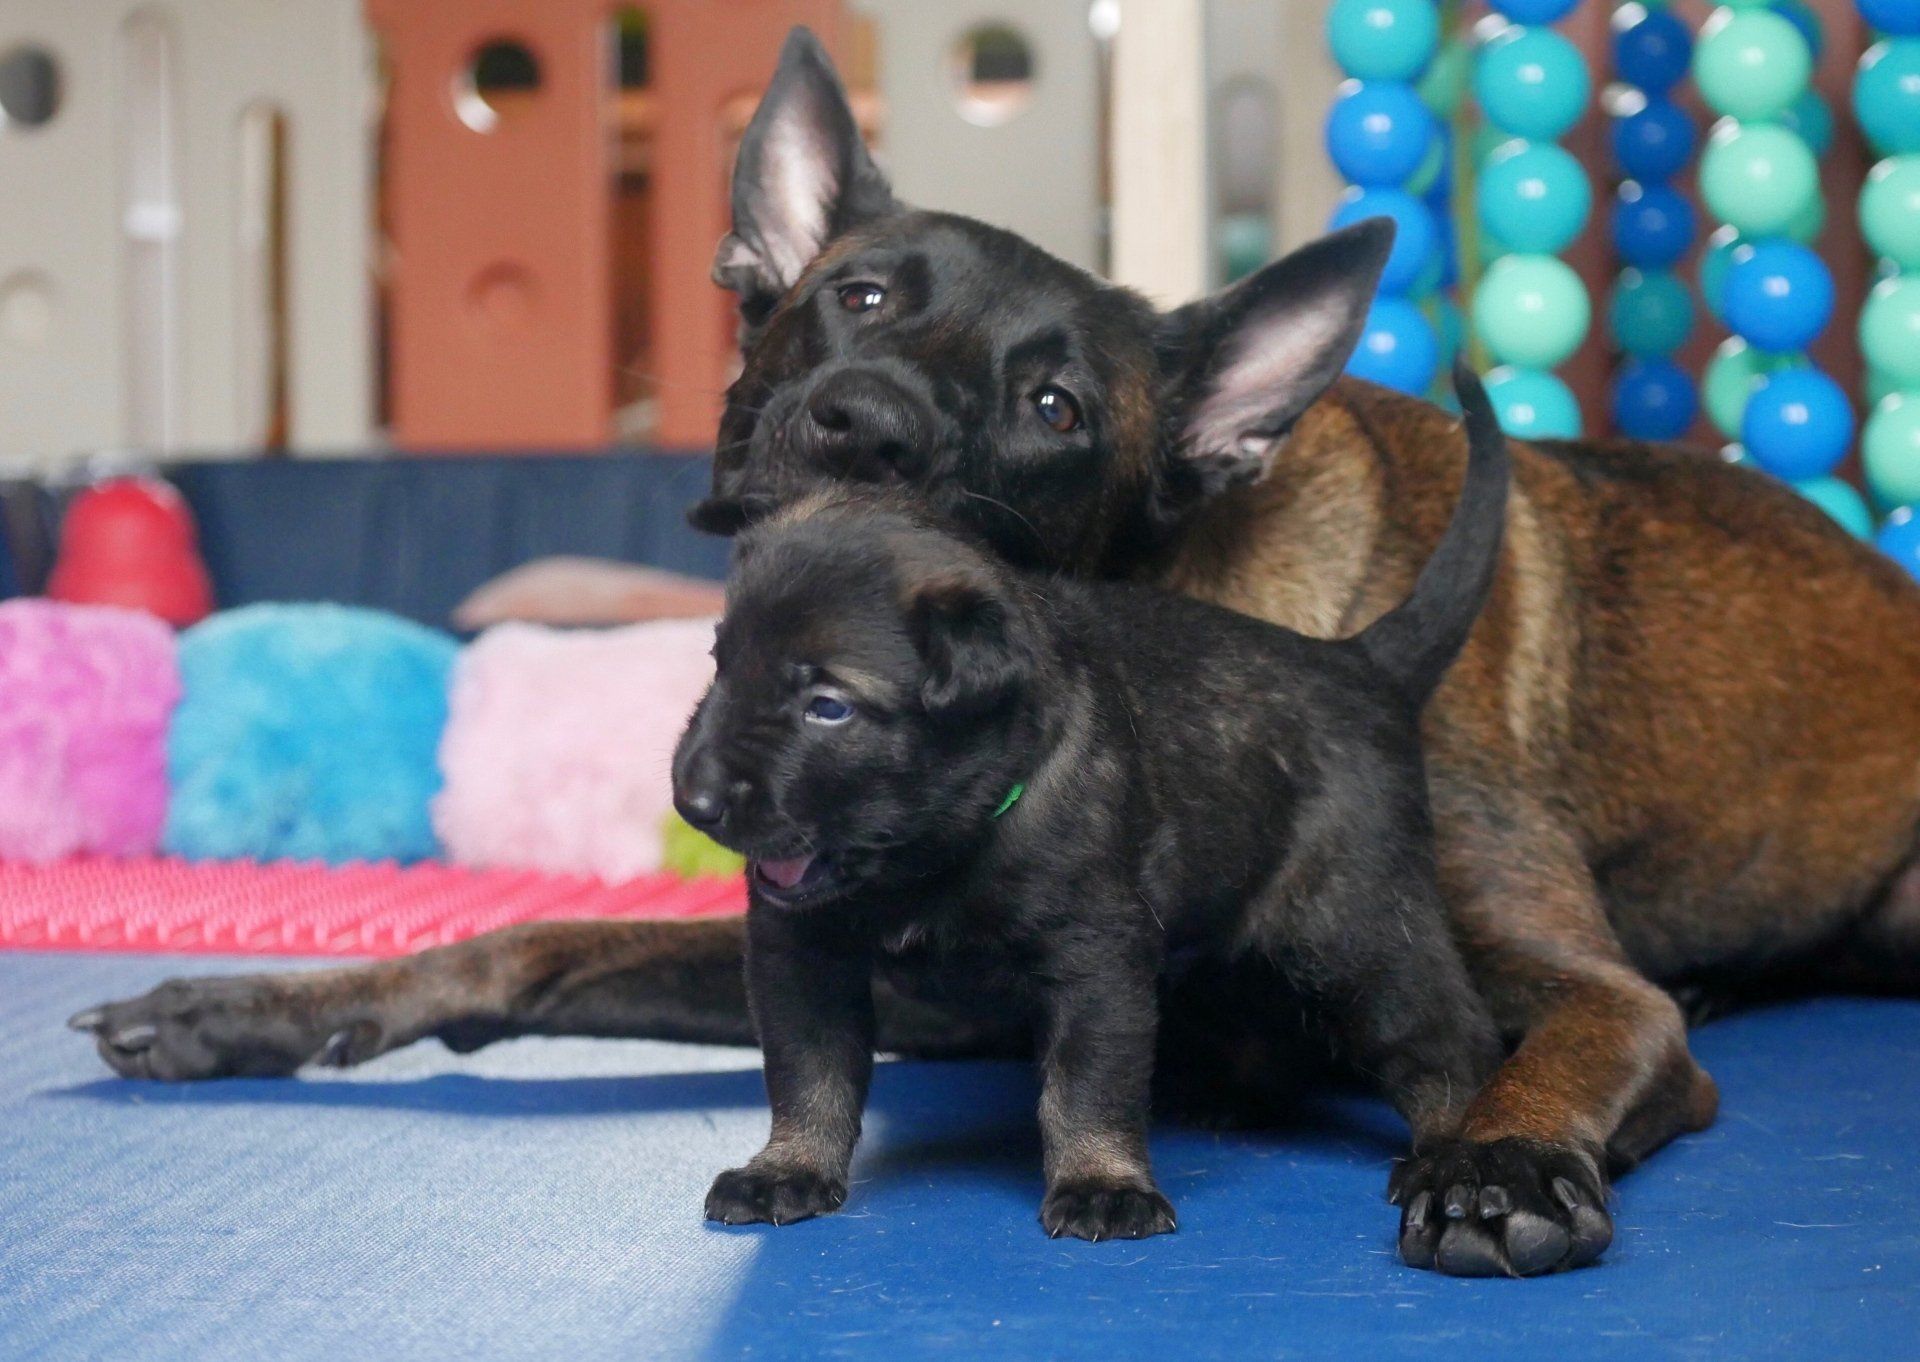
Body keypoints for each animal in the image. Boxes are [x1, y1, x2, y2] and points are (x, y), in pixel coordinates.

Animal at [678, 372, 1518, 1245]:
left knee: (1447, 1044)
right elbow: (809, 1072)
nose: (692, 799)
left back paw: (1457, 1156)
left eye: (829, 707)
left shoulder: (1096, 961)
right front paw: (789, 1167)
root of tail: (1360, 661)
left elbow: (1087, 1085)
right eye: (720, 665)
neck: (947, 843)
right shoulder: (800, 955)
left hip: (1360, 930)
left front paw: (1102, 1183)